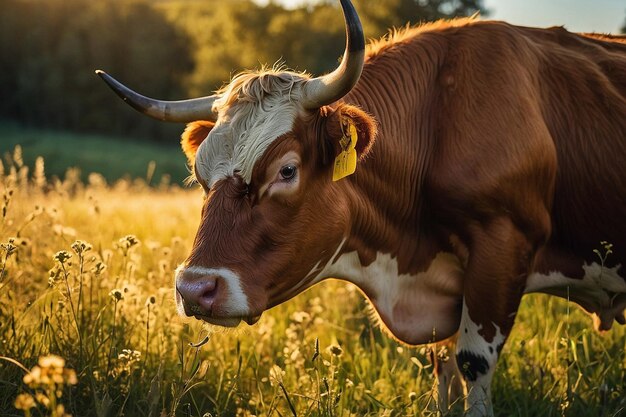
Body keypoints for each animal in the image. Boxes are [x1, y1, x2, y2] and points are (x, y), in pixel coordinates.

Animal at [94, 1, 624, 414]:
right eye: (200, 173)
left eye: (287, 170)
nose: (194, 289)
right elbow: (445, 372)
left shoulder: (501, 247)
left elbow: (472, 365)